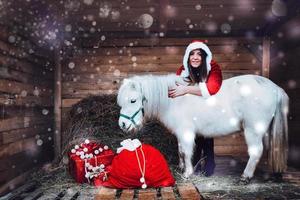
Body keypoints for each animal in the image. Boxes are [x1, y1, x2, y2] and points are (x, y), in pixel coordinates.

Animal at [117, 74, 288, 183]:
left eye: (133, 100)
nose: (123, 125)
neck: (174, 101)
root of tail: (275, 88)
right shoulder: (180, 134)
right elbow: (180, 150)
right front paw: (181, 168)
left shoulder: (185, 132)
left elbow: (186, 152)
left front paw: (187, 173)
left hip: (253, 130)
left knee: (256, 151)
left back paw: (245, 177)